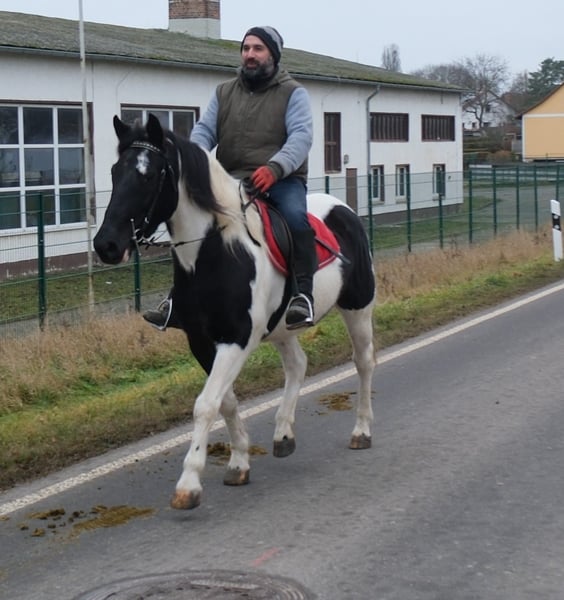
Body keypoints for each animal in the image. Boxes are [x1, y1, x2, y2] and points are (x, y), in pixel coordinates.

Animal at [94, 114, 376, 510]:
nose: (106, 244)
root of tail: (344, 209)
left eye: (147, 175)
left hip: (358, 308)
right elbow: (224, 401)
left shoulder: (236, 340)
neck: (215, 253)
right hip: (282, 327)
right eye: (115, 171)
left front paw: (188, 484)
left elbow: (206, 404)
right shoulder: (202, 342)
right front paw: (239, 460)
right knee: (297, 365)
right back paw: (283, 433)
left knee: (363, 361)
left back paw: (361, 431)